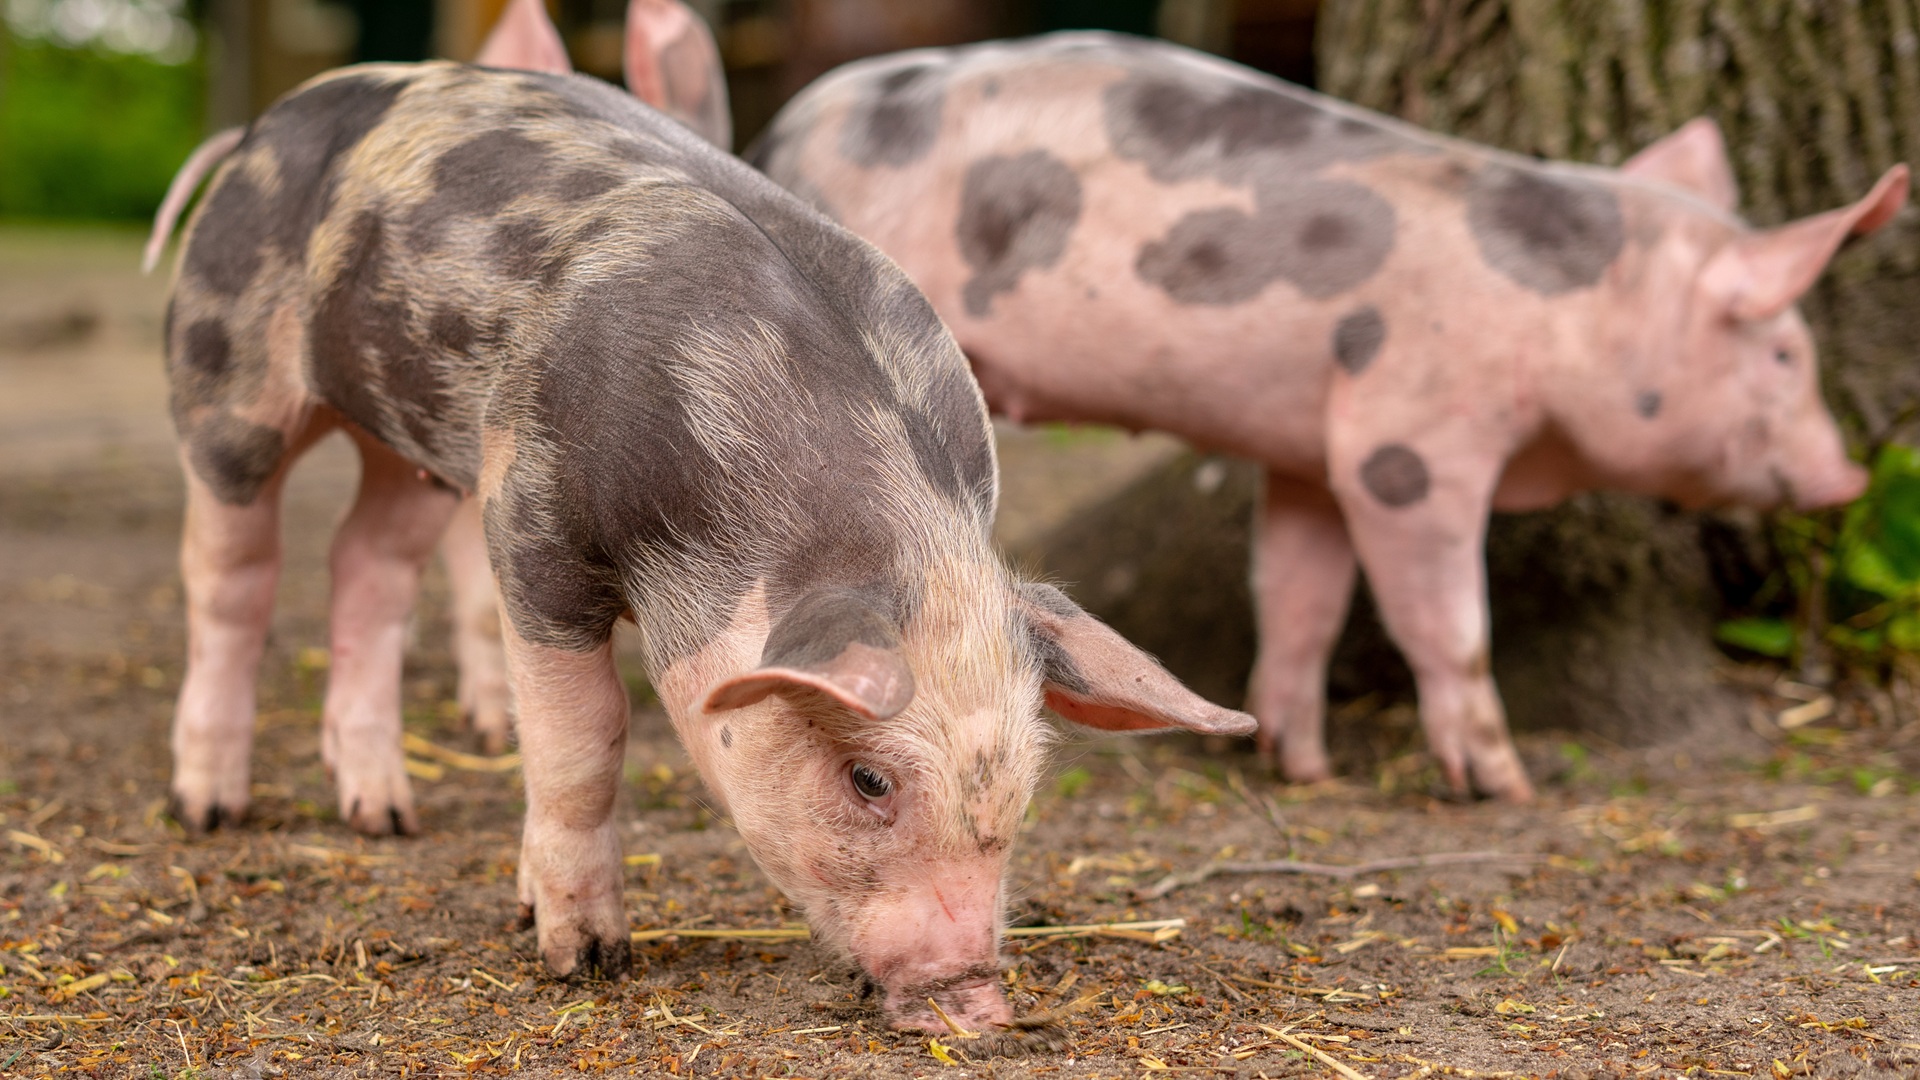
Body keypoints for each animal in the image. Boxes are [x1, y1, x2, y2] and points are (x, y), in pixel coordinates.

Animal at [144, 53, 1252, 1032]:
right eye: (869, 780)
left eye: (1022, 782)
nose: (977, 1002)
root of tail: (258, 130)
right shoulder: (529, 520)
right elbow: (582, 740)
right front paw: (582, 956)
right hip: (226, 379)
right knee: (229, 577)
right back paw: (209, 808)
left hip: (410, 441)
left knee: (364, 563)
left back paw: (383, 815)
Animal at [746, 32, 1910, 802]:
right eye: (1783, 351)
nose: (1851, 474)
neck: (1572, 308)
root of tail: (786, 131)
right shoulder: (1407, 444)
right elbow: (1448, 623)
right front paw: (1506, 787)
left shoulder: (1308, 451)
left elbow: (1302, 594)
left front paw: (1297, 764)